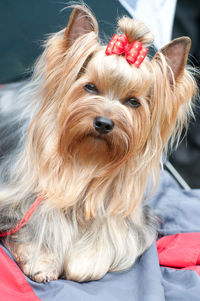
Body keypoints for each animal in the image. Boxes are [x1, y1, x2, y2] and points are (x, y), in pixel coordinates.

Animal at [0, 4, 197, 282]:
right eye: (90, 87)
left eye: (133, 102)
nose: (104, 123)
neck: (88, 160)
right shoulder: (21, 198)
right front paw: (43, 261)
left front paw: (85, 261)